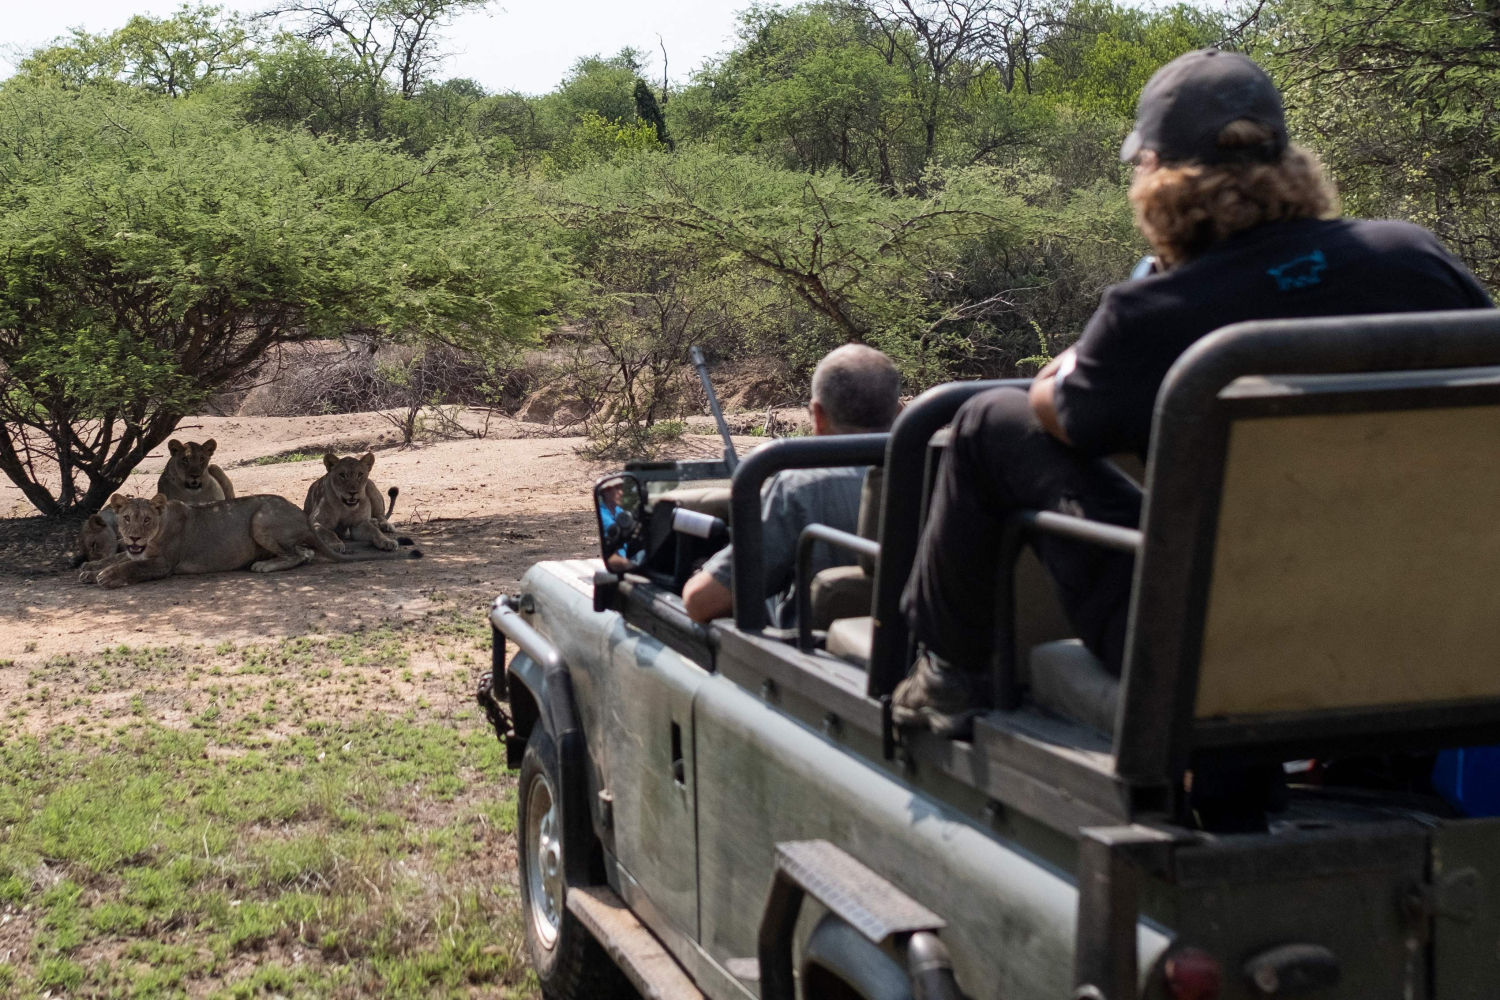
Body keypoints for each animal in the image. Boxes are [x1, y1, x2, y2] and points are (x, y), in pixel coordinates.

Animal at [78, 493, 347, 589]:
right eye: (126, 518)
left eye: (146, 520)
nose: (134, 536)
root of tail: (303, 516)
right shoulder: (138, 551)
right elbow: (117, 557)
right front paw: (89, 569)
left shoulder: (164, 564)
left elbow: (131, 566)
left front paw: (106, 577)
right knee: (306, 553)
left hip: (260, 518)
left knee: (298, 554)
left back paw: (263, 566)